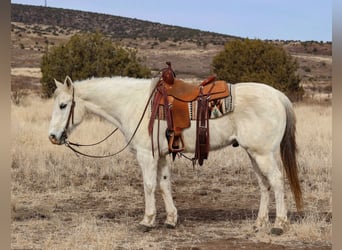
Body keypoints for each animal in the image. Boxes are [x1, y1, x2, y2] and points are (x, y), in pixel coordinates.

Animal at [48, 75, 302, 234]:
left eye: (63, 105)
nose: (52, 136)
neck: (134, 104)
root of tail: (277, 95)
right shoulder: (161, 155)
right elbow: (164, 185)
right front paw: (170, 220)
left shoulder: (146, 155)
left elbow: (149, 186)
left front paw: (147, 221)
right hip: (254, 154)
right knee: (264, 184)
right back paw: (260, 223)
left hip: (263, 154)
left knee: (276, 181)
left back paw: (279, 224)